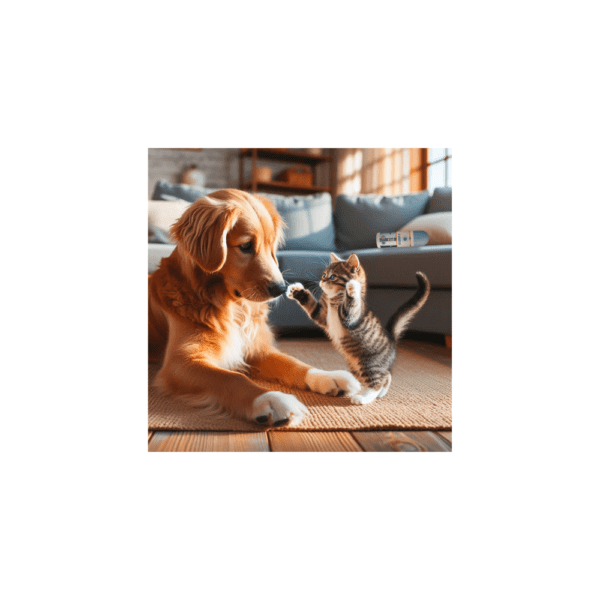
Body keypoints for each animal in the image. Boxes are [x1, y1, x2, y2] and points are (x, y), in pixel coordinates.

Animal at [149, 188, 360, 426]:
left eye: (270, 245)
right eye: (246, 246)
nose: (281, 288)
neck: (233, 307)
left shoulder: (256, 348)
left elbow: (293, 362)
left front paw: (327, 376)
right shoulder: (181, 362)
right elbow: (232, 378)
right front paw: (270, 399)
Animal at [288, 251, 432, 406]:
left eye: (333, 277)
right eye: (324, 274)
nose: (322, 281)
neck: (333, 301)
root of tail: (391, 338)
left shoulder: (351, 317)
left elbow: (351, 305)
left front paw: (352, 289)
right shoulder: (323, 316)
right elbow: (312, 308)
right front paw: (297, 291)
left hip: (369, 363)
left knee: (376, 382)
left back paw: (364, 397)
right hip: (356, 365)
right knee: (386, 376)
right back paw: (379, 392)